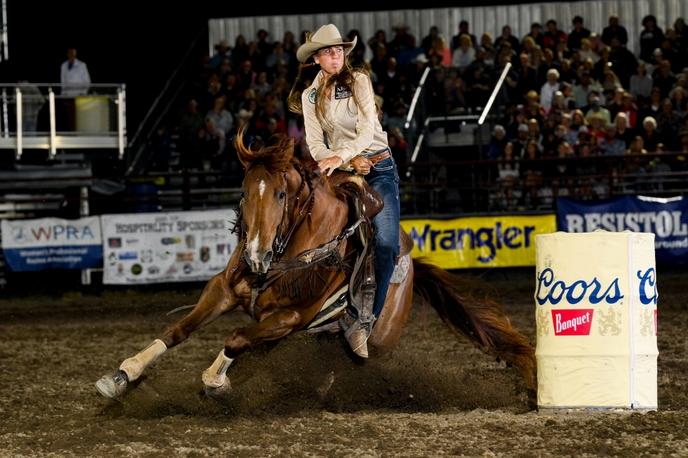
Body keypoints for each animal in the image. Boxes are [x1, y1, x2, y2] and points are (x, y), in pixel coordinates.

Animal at [95, 131, 536, 400]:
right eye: (244, 192)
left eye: (280, 194)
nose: (255, 255)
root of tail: (411, 267)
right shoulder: (223, 290)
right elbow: (179, 330)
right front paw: (122, 375)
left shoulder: (291, 316)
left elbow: (235, 337)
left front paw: (215, 380)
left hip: (376, 337)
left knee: (348, 360)